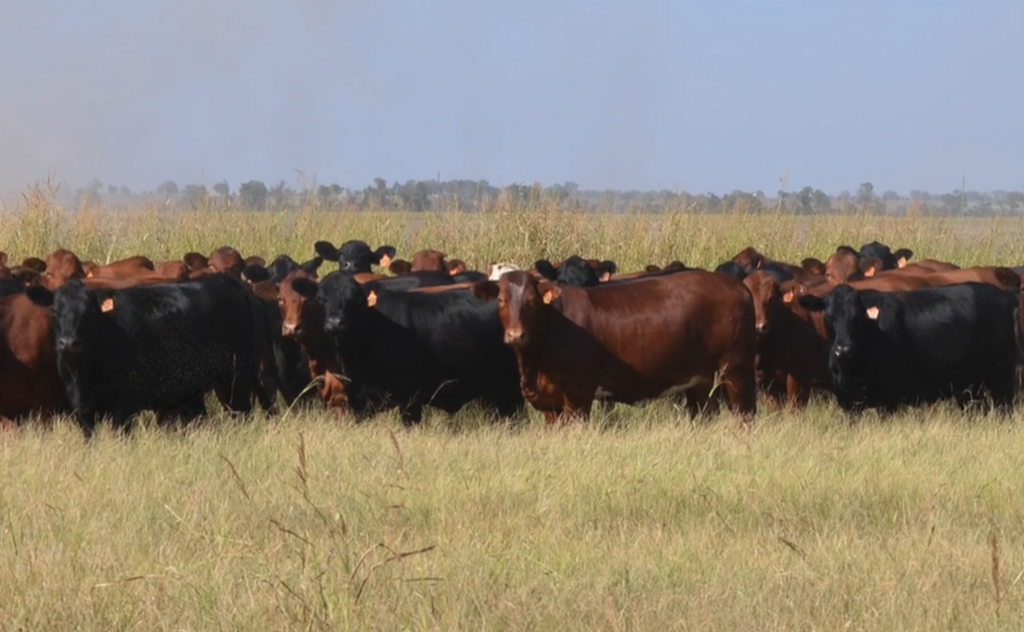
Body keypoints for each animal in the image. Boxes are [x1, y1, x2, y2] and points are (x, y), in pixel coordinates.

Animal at [30, 274, 272, 436]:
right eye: (54, 310)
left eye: (89, 312)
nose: (68, 342)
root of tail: (229, 281)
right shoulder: (82, 407)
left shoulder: (126, 403)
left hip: (235, 379)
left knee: (241, 413)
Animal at [475, 268, 757, 422]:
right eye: (500, 300)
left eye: (532, 300)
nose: (516, 335)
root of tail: (739, 287)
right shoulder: (550, 405)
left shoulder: (578, 394)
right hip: (701, 381)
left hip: (736, 371)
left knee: (744, 414)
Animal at [802, 282, 1019, 413]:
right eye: (829, 316)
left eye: (856, 317)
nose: (843, 349)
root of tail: (1006, 296)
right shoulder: (847, 400)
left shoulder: (889, 396)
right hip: (970, 386)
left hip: (1002, 378)